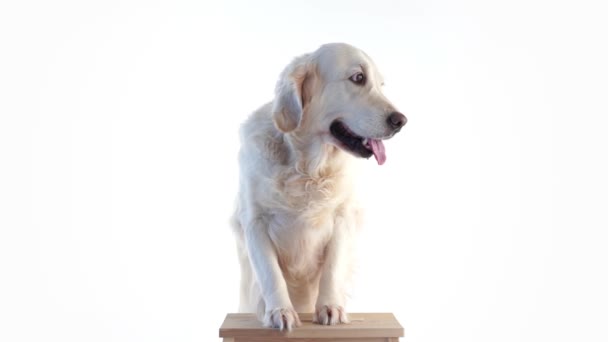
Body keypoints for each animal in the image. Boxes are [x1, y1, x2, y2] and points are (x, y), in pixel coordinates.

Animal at [230, 41, 406, 330]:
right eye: (358, 78)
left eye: (381, 84)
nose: (401, 121)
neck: (308, 167)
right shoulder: (254, 220)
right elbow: (271, 273)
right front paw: (280, 312)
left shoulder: (343, 216)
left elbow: (332, 269)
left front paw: (330, 308)